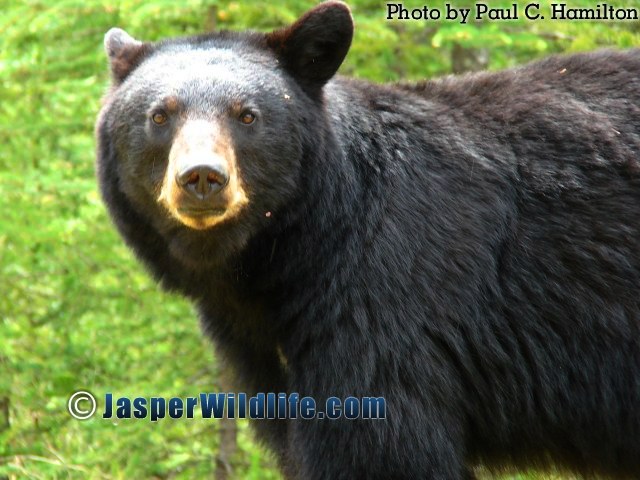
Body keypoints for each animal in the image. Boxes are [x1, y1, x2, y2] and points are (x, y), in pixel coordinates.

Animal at [95, 1, 640, 478]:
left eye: (246, 115)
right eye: (160, 115)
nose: (202, 177)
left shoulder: (388, 307)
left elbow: (380, 444)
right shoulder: (265, 357)